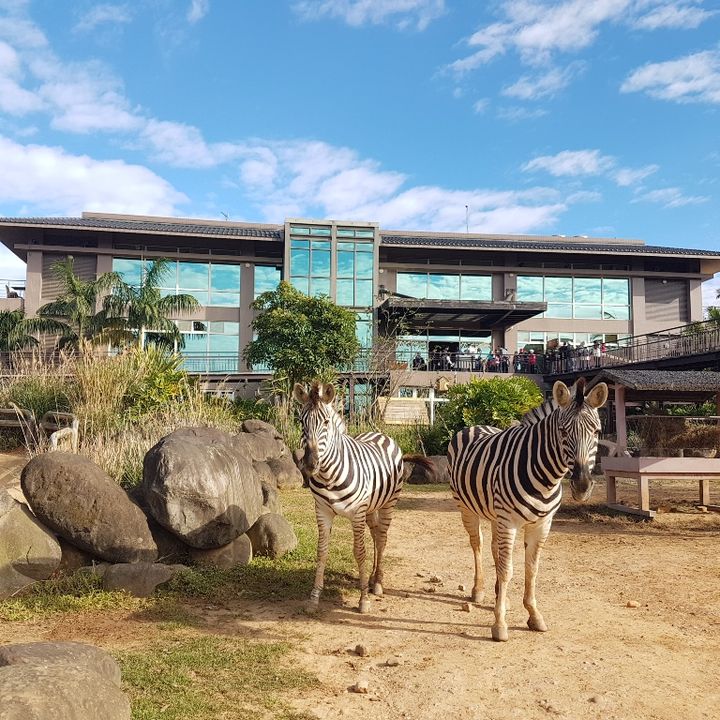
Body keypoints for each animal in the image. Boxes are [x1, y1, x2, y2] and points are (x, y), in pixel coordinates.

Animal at [292, 382, 428, 612]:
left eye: (326, 422)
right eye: (302, 422)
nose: (310, 465)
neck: (329, 476)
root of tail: (379, 434)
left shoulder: (357, 513)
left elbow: (359, 552)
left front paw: (363, 600)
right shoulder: (322, 510)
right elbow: (322, 551)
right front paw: (314, 598)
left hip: (389, 503)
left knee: (381, 538)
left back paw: (378, 583)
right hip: (371, 507)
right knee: (375, 533)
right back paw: (371, 578)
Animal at [450, 376, 608, 640]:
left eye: (596, 432)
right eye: (563, 431)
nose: (582, 486)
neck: (546, 478)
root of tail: (476, 425)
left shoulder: (542, 524)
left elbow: (531, 569)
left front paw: (533, 615)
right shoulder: (510, 522)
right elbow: (507, 569)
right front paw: (500, 624)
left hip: (495, 515)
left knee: (494, 548)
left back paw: (500, 597)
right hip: (467, 508)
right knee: (478, 544)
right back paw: (479, 590)